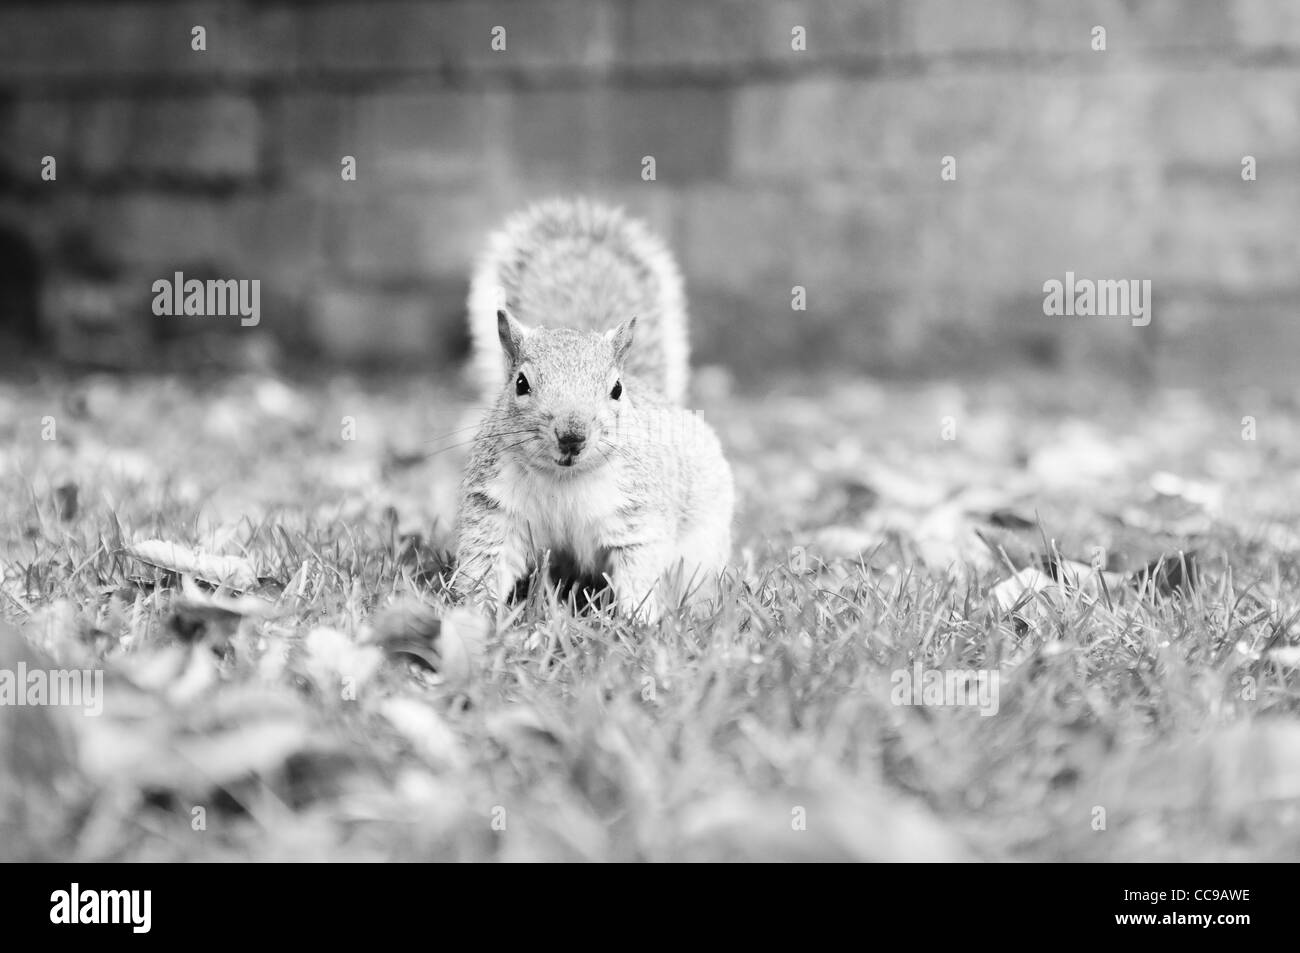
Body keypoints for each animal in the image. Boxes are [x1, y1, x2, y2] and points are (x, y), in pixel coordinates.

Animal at [449, 197, 733, 621]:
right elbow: (486, 563)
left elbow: (639, 571)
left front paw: (638, 622)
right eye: (520, 384)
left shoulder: (637, 516)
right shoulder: (496, 511)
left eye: (616, 389)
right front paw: (473, 617)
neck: (563, 479)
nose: (572, 436)